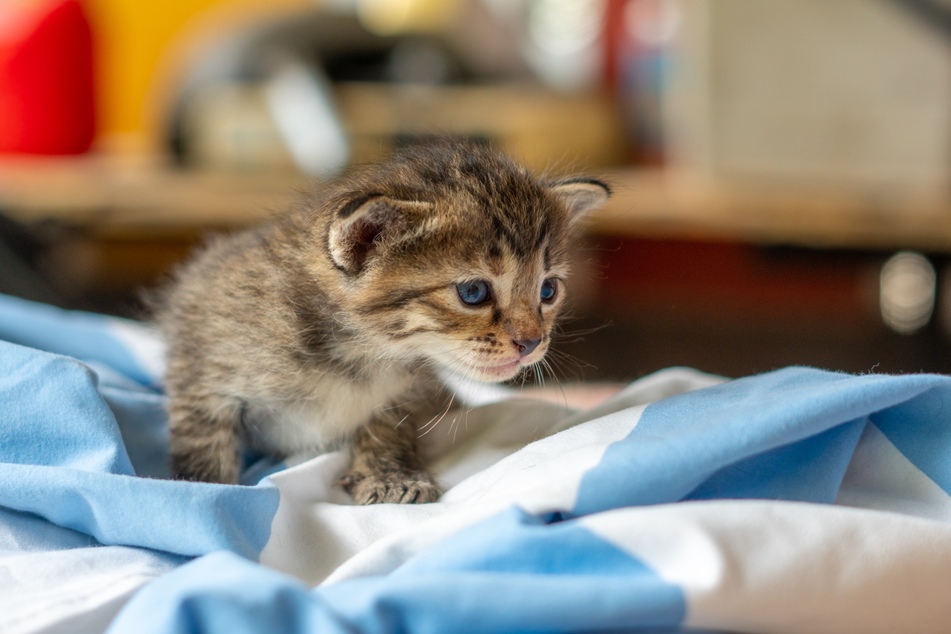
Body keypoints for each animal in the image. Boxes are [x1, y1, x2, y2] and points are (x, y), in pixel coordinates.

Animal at [152, 141, 608, 502]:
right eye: (474, 292)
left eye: (547, 291)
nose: (532, 342)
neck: (358, 353)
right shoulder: (200, 345)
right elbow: (202, 435)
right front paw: (201, 491)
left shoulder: (413, 390)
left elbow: (390, 424)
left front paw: (392, 475)